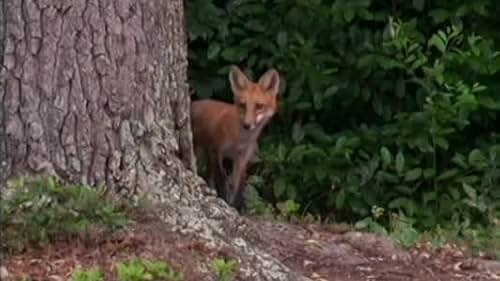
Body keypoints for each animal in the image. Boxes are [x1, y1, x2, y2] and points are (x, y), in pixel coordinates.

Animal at [190, 66, 280, 210]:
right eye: (243, 105)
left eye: (259, 106)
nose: (247, 125)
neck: (240, 140)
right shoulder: (217, 152)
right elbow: (221, 182)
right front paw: (224, 202)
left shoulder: (242, 159)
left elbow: (238, 187)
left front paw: (236, 207)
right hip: (200, 150)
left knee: (209, 175)